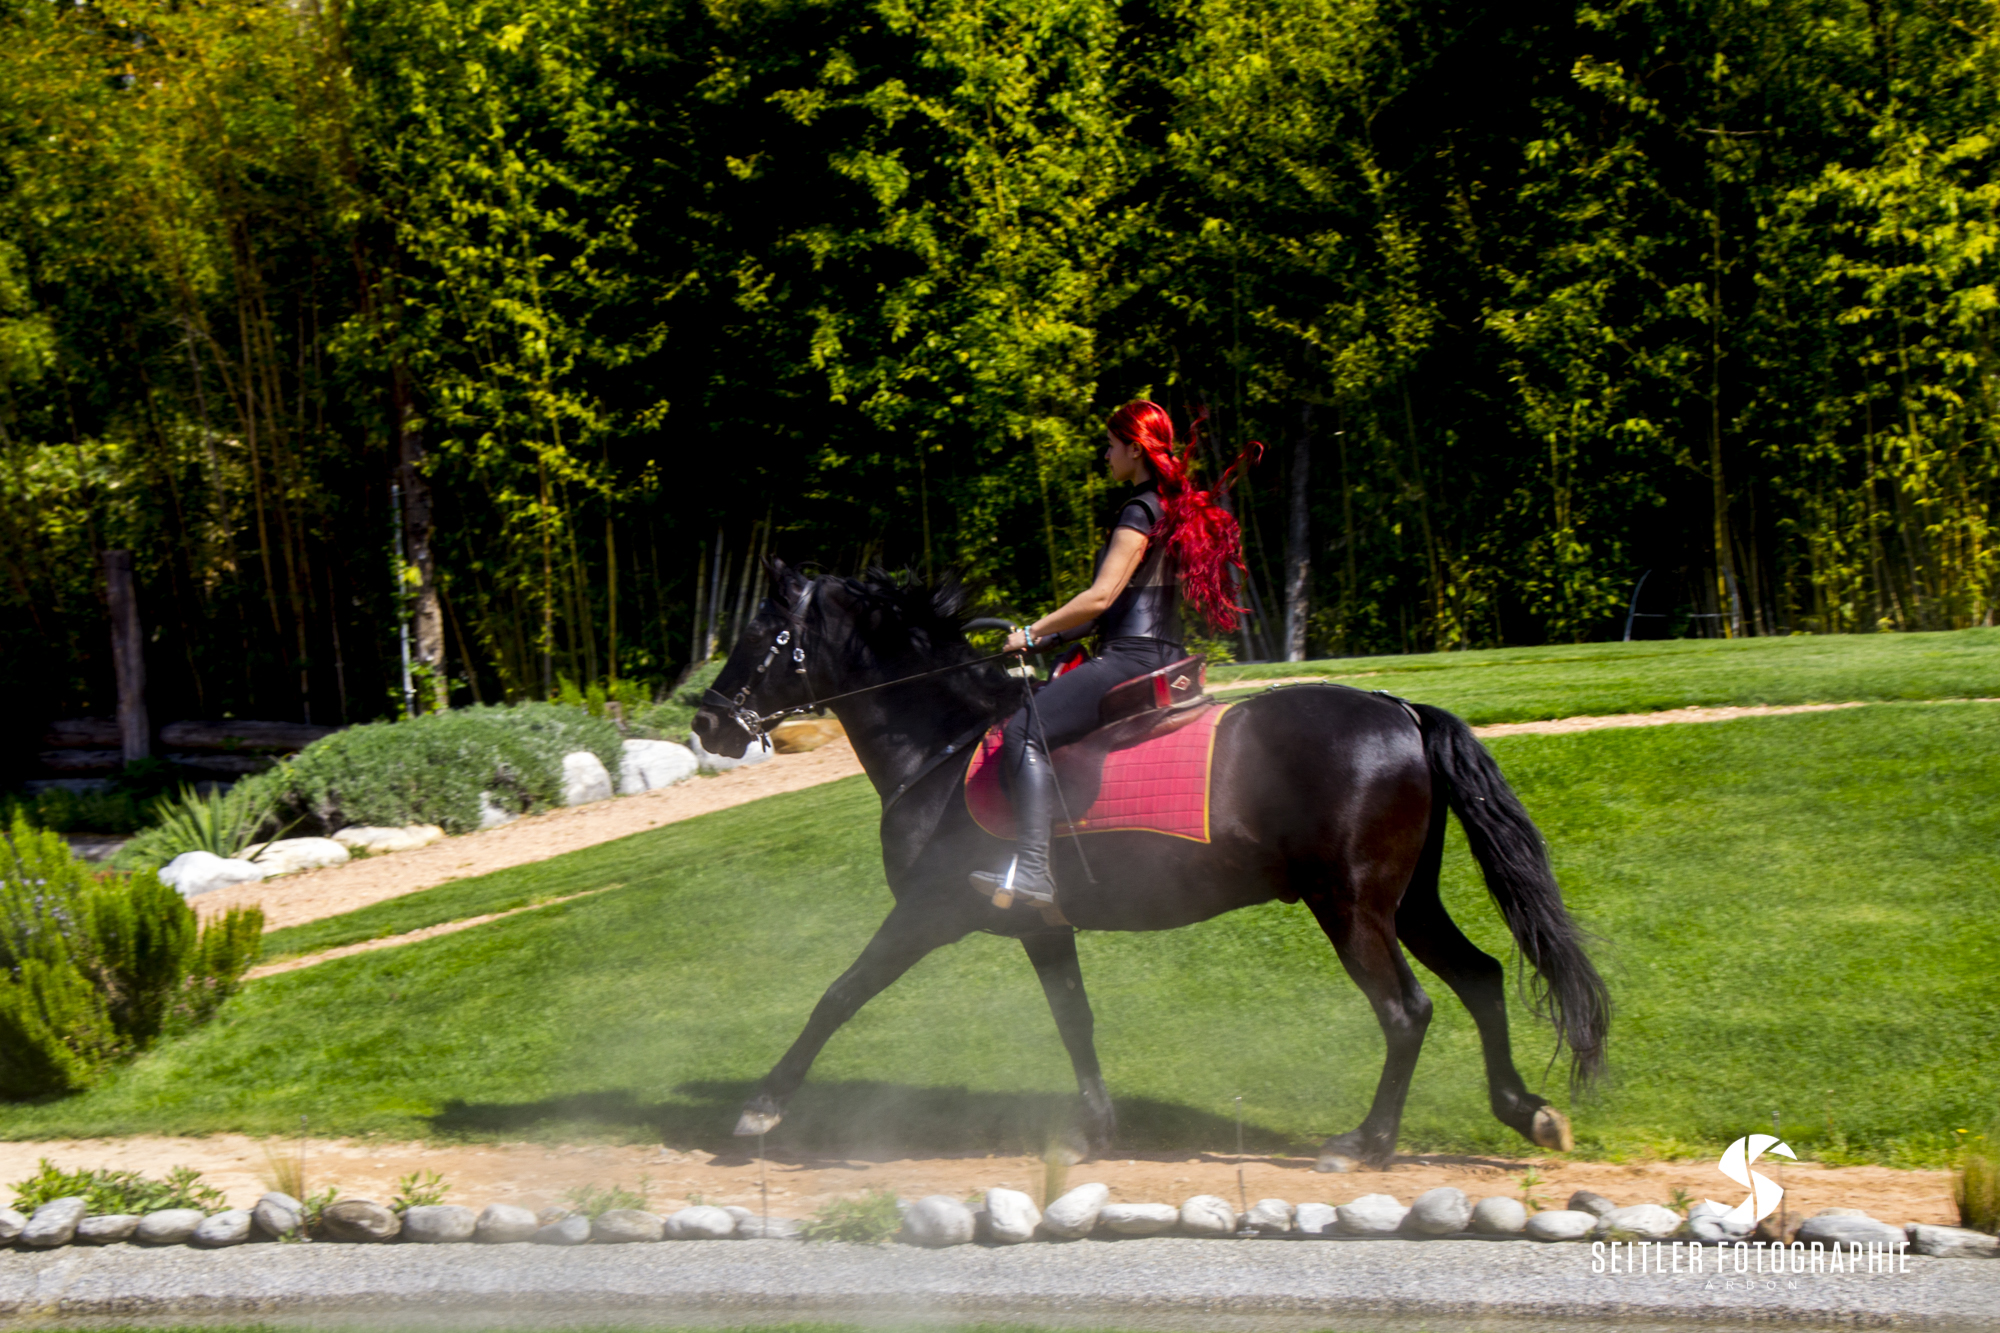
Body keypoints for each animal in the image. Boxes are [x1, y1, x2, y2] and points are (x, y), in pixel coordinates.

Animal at [693, 560, 1609, 1170]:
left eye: (764, 634)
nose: (708, 722)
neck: (945, 748)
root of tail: (1399, 709)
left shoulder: (928, 911)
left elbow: (839, 993)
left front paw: (760, 1108)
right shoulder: (1040, 926)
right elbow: (1076, 1020)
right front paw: (1095, 1130)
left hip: (1351, 906)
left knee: (1407, 1010)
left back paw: (1366, 1142)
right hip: (1406, 900)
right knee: (1481, 976)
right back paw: (1528, 1113)